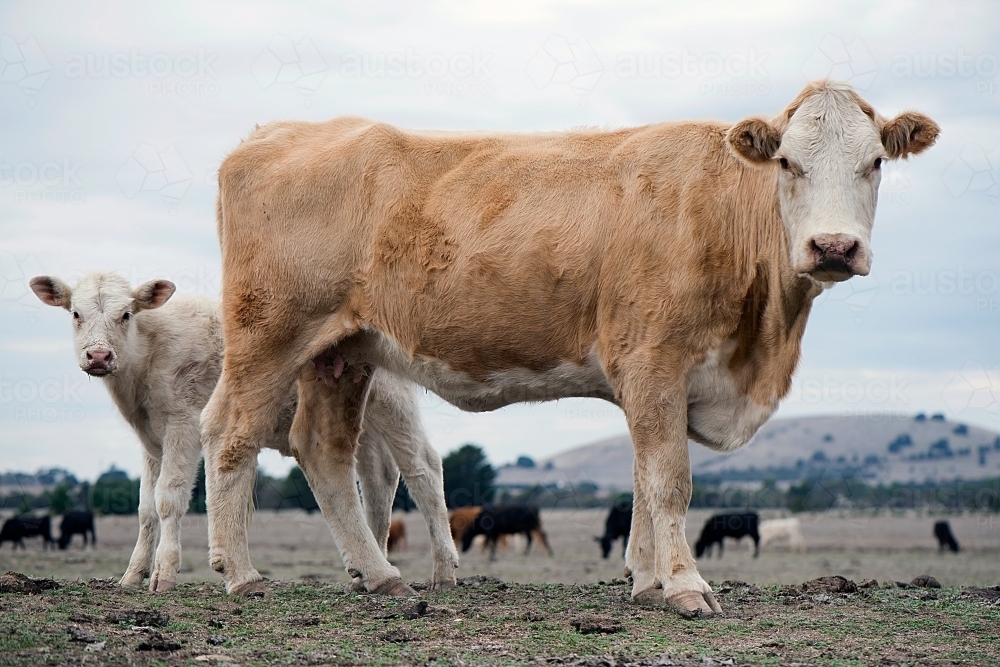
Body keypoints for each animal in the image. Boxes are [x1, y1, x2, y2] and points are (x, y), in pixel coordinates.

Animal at [27, 272, 458, 596]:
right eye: (76, 313)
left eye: (126, 314)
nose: (99, 356)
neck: (147, 356)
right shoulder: (151, 441)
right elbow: (146, 507)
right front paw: (132, 576)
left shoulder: (183, 425)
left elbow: (169, 498)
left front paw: (163, 575)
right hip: (360, 415)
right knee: (377, 478)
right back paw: (368, 569)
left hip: (393, 401)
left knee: (423, 469)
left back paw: (443, 571)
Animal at [201, 81, 936, 620]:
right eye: (788, 161)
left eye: (875, 162)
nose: (834, 246)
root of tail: (274, 133)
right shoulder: (654, 362)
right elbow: (669, 480)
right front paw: (685, 585)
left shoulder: (656, 380)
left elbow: (641, 480)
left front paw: (646, 581)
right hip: (267, 338)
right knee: (231, 435)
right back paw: (241, 574)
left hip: (342, 354)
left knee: (323, 451)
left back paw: (381, 575)